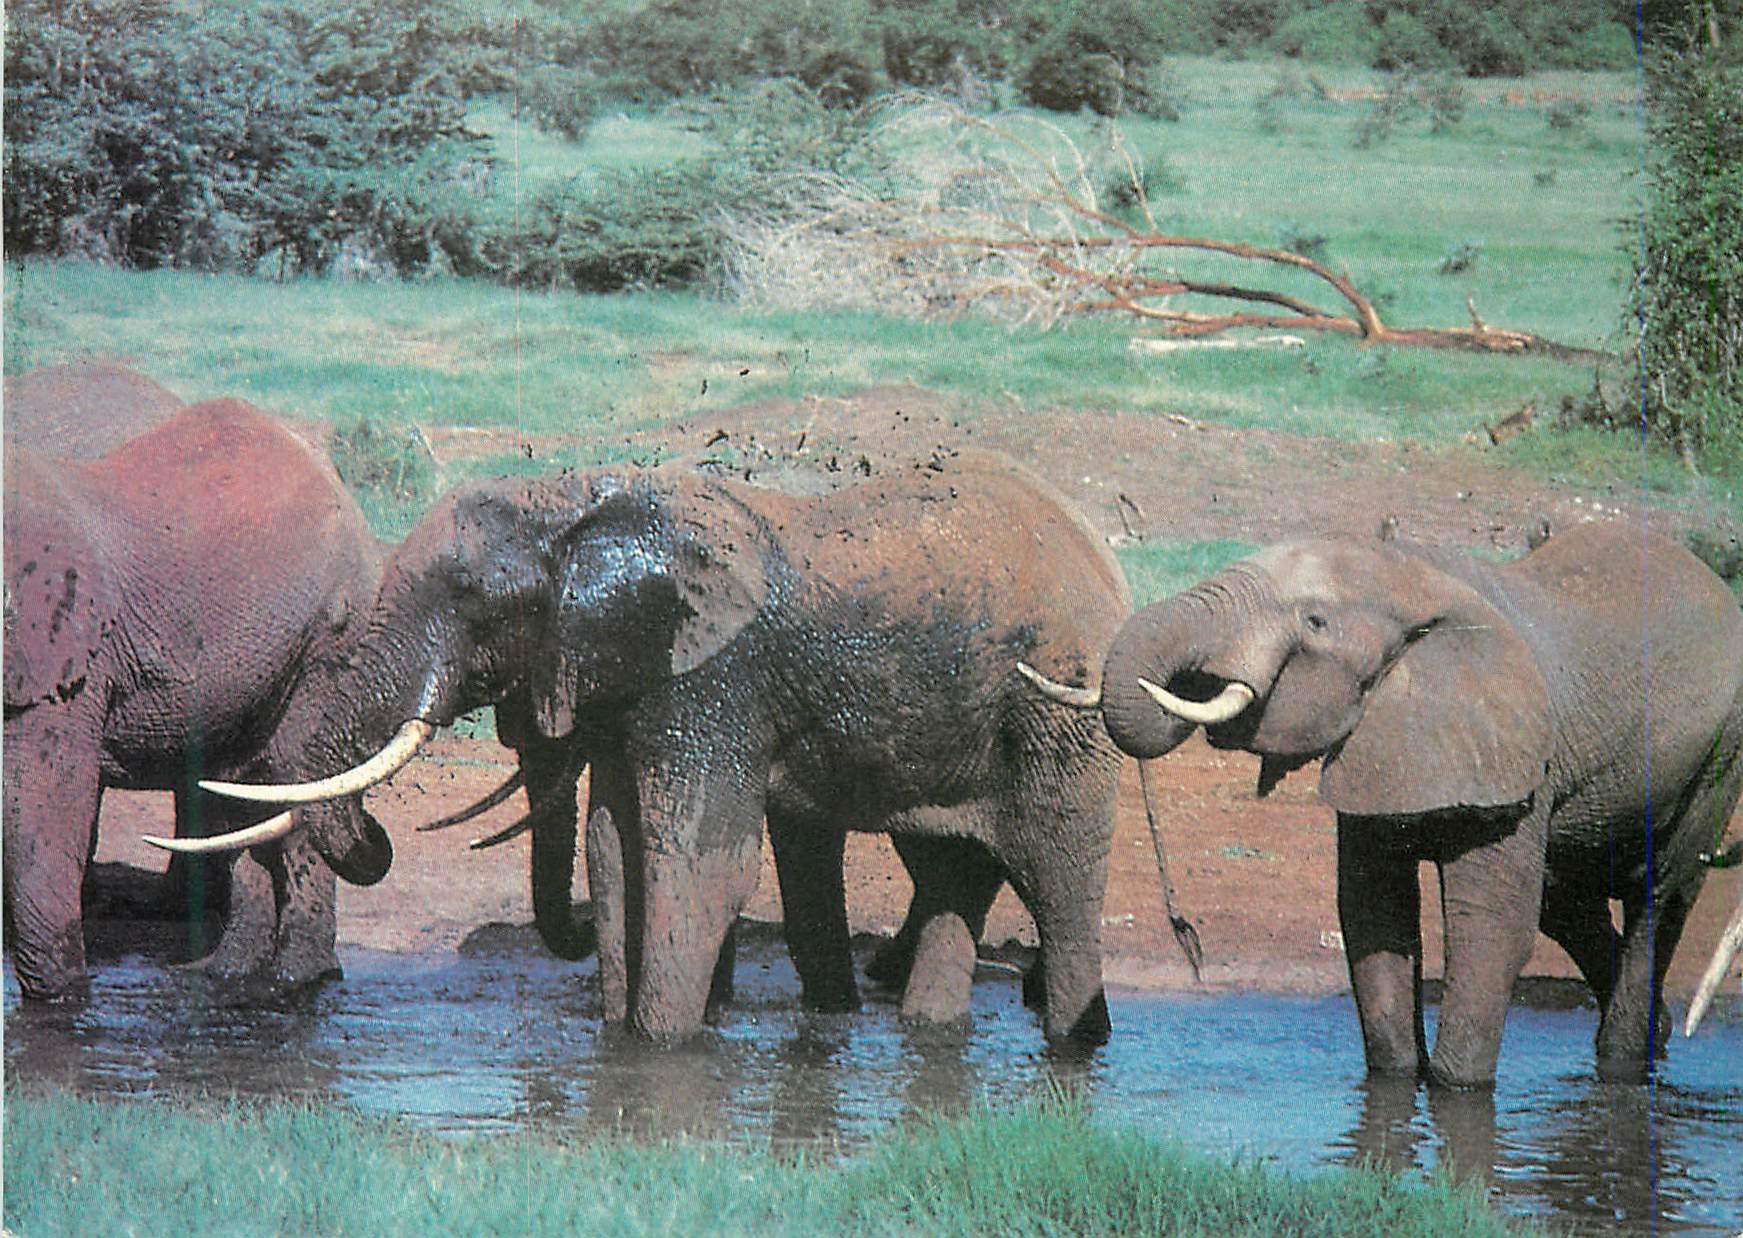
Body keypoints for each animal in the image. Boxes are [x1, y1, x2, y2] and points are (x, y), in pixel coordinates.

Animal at [3, 397, 389, 1000]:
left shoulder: (63, 659)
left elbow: (43, 813)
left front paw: (60, 1002)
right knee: (246, 788)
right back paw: (229, 975)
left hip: (330, 637)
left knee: (296, 776)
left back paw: (297, 982)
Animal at [196, 454, 1132, 1045]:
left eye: (467, 595)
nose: (382, 837)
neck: (574, 500)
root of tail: (1094, 548)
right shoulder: (633, 683)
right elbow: (616, 854)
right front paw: (621, 1048)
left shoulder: (713, 679)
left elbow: (699, 863)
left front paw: (661, 1053)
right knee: (950, 872)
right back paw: (933, 1035)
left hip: (1058, 702)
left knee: (1057, 870)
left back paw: (1075, 1046)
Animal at [1023, 521, 1743, 1086]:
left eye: (1314, 622)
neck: (1417, 581)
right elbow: (1374, 914)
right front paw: (1397, 1085)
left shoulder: (1515, 757)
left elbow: (1491, 930)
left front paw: (1456, 1091)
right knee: (1566, 899)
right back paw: (1654, 1035)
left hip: (1719, 755)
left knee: (1661, 893)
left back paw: (1626, 1059)